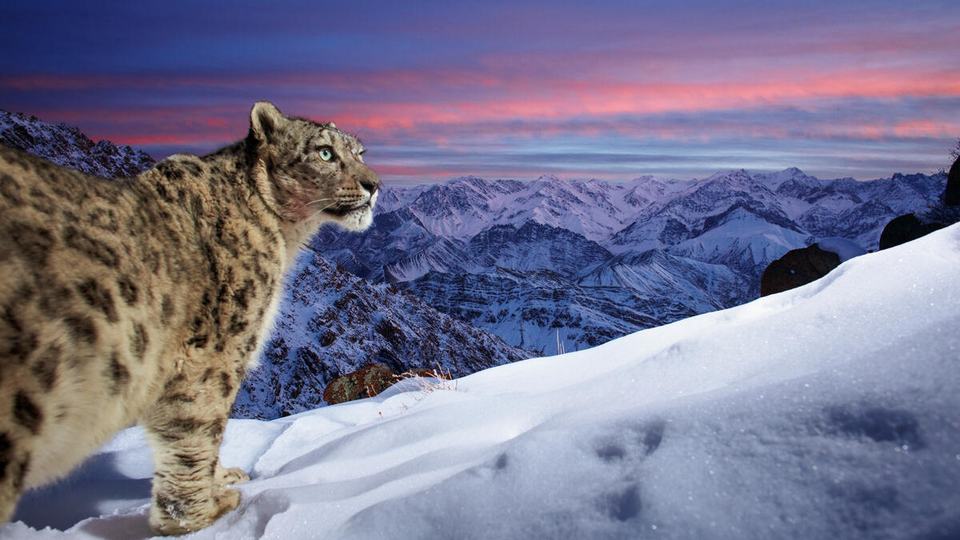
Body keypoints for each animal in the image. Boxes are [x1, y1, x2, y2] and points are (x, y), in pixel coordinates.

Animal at [0, 101, 379, 534]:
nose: (374, 184)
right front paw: (203, 515)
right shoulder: (214, 354)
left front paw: (222, 480)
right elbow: (198, 430)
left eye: (359, 152)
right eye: (325, 153)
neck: (286, 238)